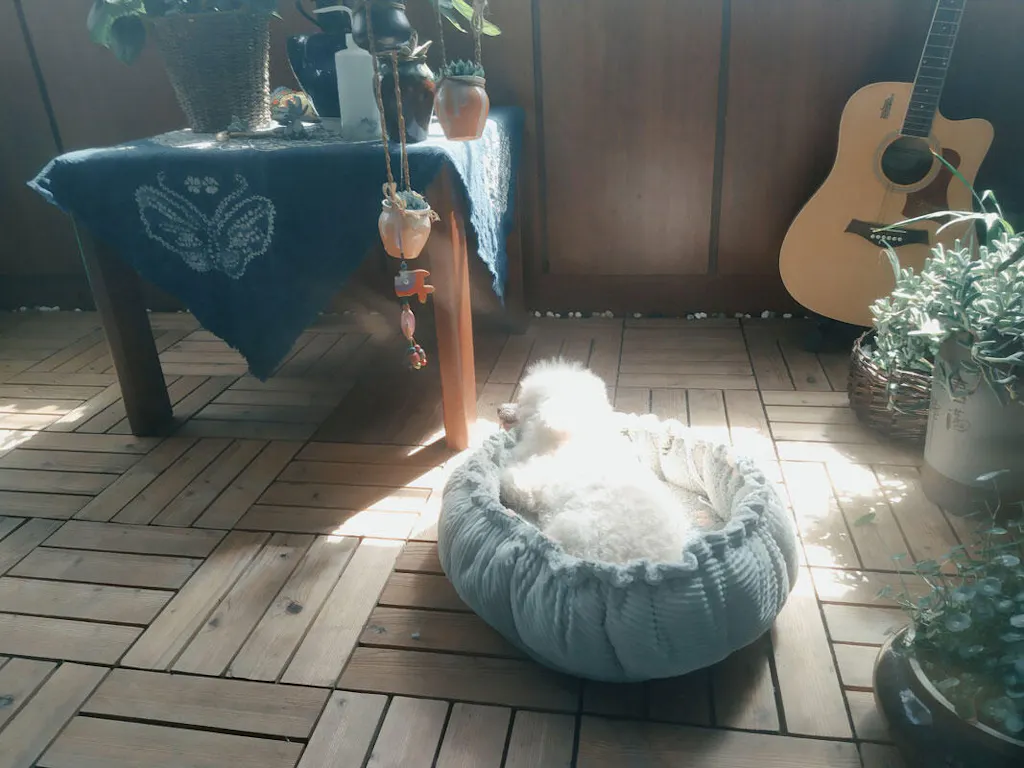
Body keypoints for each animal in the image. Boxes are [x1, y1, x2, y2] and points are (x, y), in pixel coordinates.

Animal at [497, 358, 693, 565]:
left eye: (522, 402)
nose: (499, 408)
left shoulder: (531, 481)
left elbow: (510, 480)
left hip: (578, 529)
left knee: (553, 542)